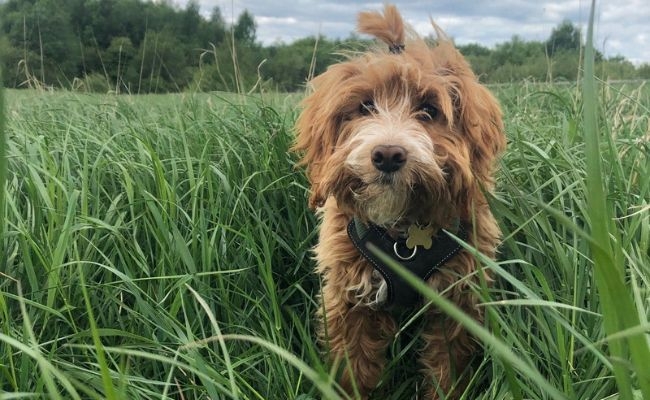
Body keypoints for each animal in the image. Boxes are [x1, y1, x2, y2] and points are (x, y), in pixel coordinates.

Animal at [292, 4, 504, 398]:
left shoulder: (457, 295)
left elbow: (447, 366)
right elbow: (353, 364)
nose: (388, 155)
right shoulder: (349, 298)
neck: (404, 232)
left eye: (428, 110)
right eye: (365, 106)